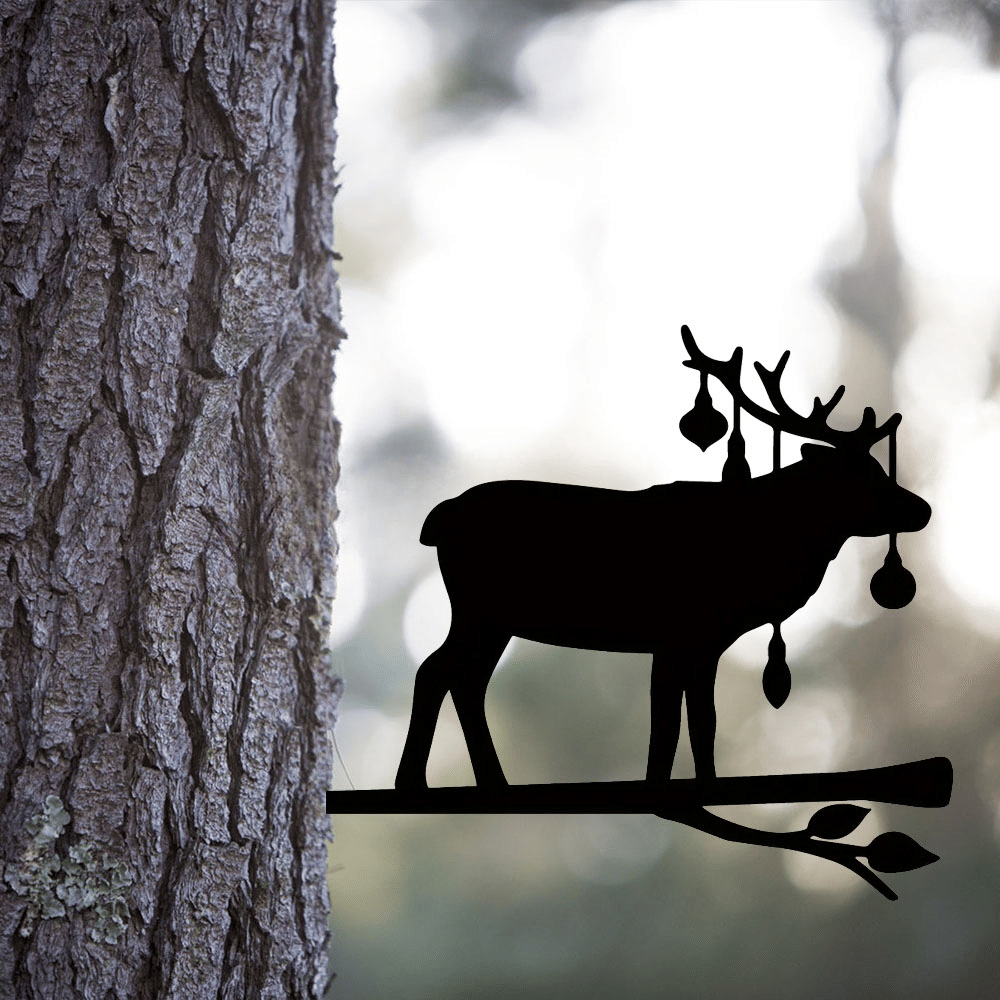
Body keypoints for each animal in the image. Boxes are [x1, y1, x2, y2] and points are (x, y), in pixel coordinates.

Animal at [394, 327, 931, 792]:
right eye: (862, 478)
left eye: (880, 466)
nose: (922, 508)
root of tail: (438, 519)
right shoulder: (679, 632)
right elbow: (672, 723)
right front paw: (669, 790)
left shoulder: (703, 641)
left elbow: (699, 720)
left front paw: (704, 786)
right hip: (479, 608)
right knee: (437, 671)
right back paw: (415, 782)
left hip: (492, 617)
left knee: (464, 679)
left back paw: (488, 782)